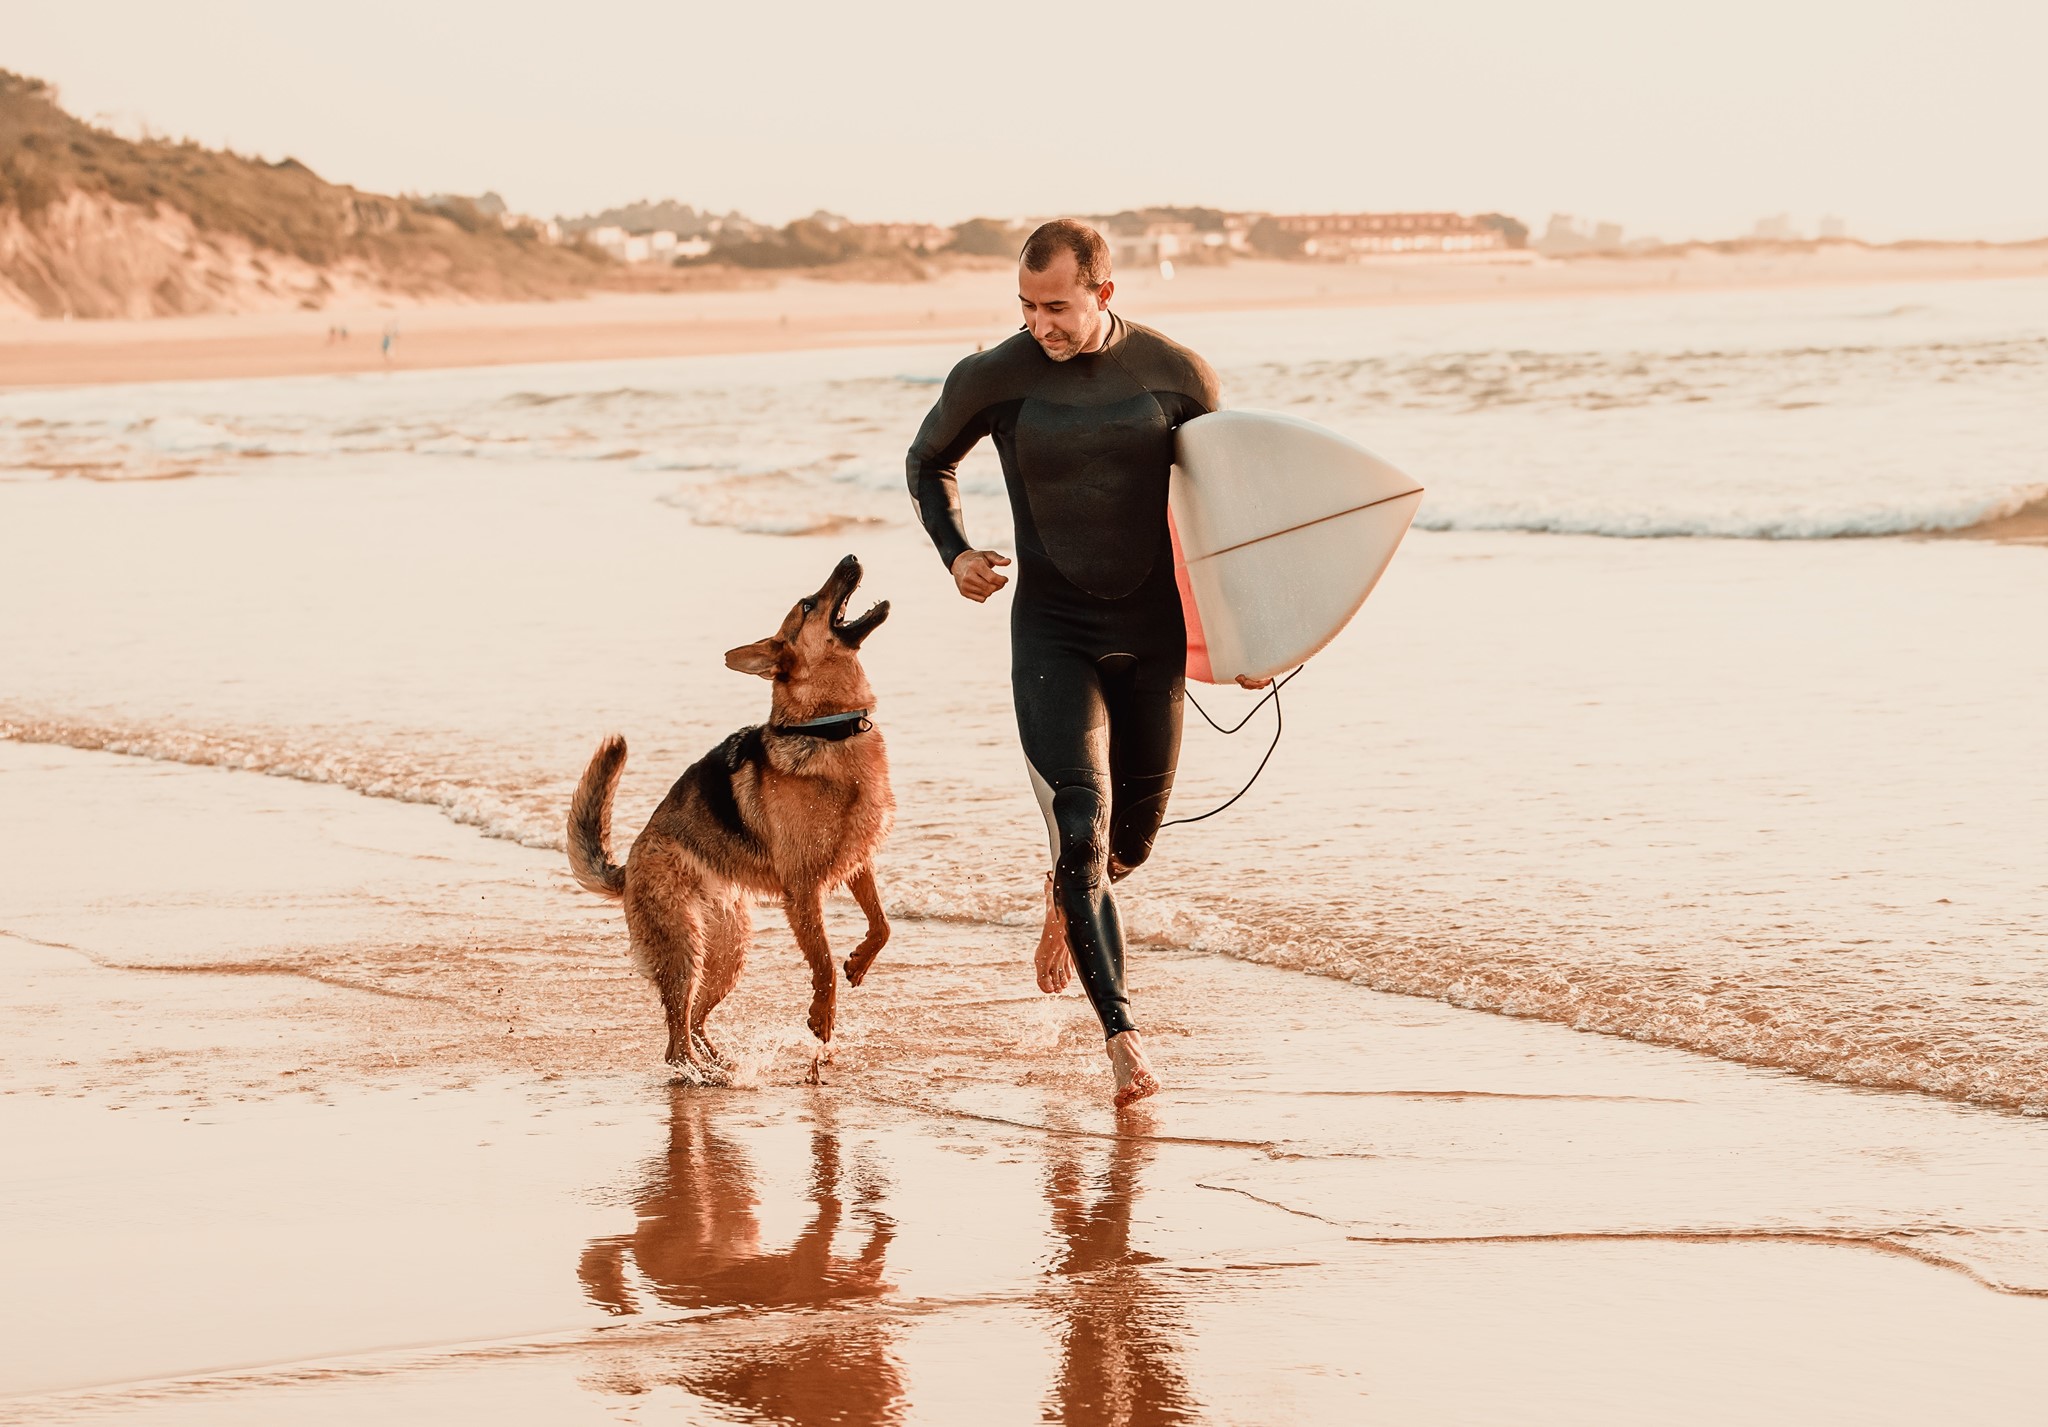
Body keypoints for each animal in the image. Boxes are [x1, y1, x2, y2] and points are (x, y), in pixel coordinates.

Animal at [577, 552, 897, 1072]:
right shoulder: (803, 891)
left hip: (728, 951)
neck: (828, 728)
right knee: (675, 1039)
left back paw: (720, 1064)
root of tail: (629, 865)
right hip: (684, 949)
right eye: (808, 605)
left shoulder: (856, 861)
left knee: (695, 1020)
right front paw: (823, 1015)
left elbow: (882, 925)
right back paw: (703, 1075)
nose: (849, 556)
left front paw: (860, 961)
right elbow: (823, 961)